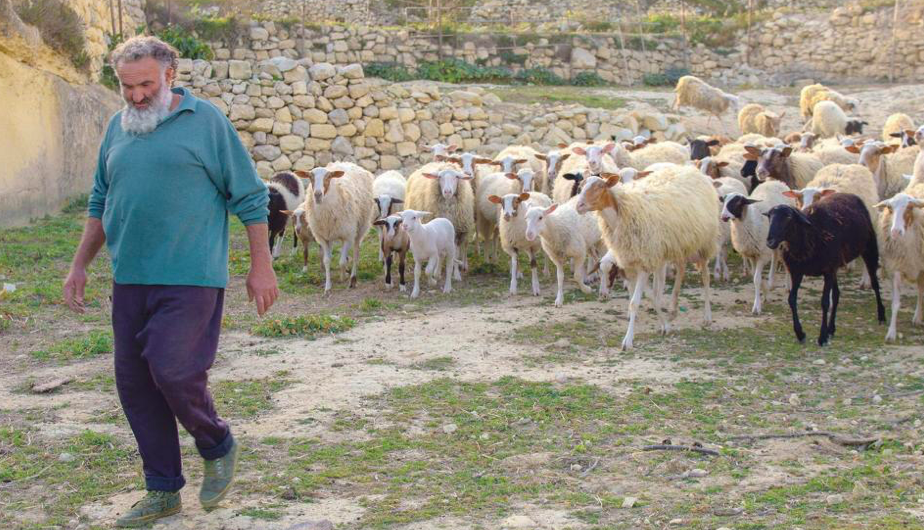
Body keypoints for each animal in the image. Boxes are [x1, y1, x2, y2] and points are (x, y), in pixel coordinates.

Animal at [304, 162, 376, 290]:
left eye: (328, 177)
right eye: (310, 177)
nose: (317, 194)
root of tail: (348, 163)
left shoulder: (348, 236)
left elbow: (341, 262)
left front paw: (343, 278)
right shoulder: (323, 238)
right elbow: (327, 261)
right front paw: (327, 286)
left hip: (360, 228)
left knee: (356, 252)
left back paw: (353, 278)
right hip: (333, 233)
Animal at [572, 163, 720, 348]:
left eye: (600, 187)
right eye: (581, 185)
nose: (579, 206)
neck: (624, 213)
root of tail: (692, 170)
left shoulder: (645, 262)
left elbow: (635, 302)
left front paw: (628, 340)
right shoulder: (632, 264)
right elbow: (651, 296)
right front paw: (665, 325)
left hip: (703, 243)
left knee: (706, 278)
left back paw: (707, 316)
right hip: (679, 245)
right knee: (681, 270)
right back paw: (673, 308)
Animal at [720, 182, 796, 314]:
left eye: (738, 202)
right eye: (724, 201)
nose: (723, 216)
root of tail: (777, 182)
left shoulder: (761, 254)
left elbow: (756, 279)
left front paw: (757, 307)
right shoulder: (752, 254)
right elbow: (755, 276)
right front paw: (765, 291)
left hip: (785, 239)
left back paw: (787, 285)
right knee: (775, 255)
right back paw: (771, 281)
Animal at [764, 192, 888, 344]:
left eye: (788, 217)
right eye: (769, 216)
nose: (770, 241)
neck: (808, 237)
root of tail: (850, 195)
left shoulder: (827, 271)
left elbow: (824, 302)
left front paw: (822, 337)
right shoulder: (797, 272)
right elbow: (791, 299)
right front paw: (800, 333)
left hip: (869, 248)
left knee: (875, 284)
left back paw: (881, 315)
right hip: (835, 265)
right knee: (836, 294)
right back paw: (831, 329)